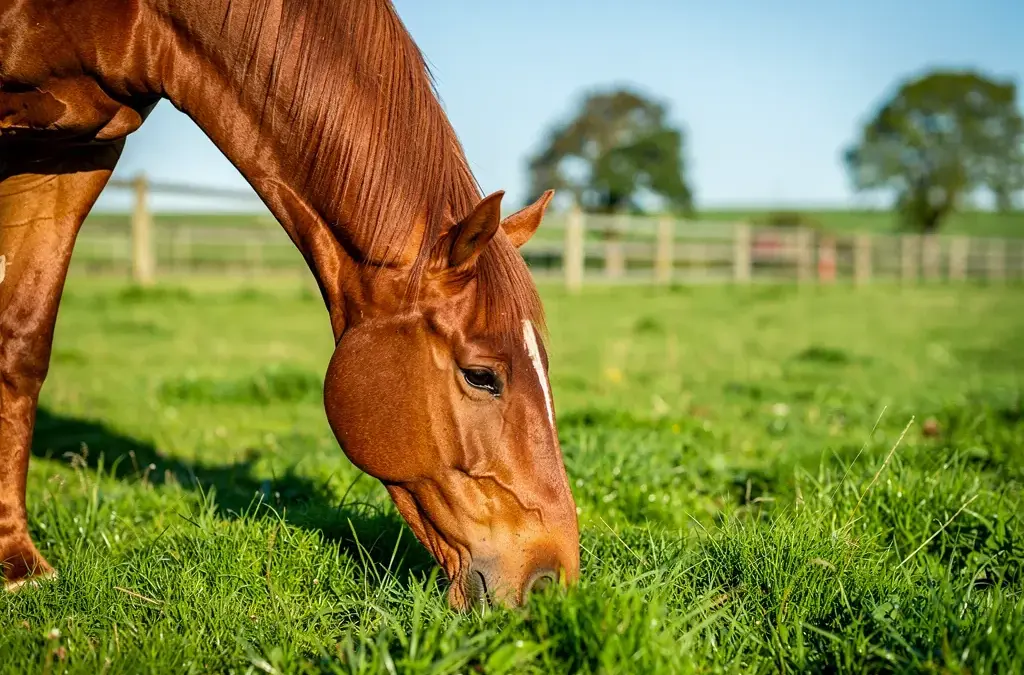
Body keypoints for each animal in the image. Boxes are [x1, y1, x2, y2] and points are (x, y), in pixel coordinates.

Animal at [0, 0, 579, 610]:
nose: (553, 580)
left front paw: (20, 565)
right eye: (480, 375)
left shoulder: (76, 152)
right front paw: (17, 564)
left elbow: (23, 342)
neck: (147, 18)